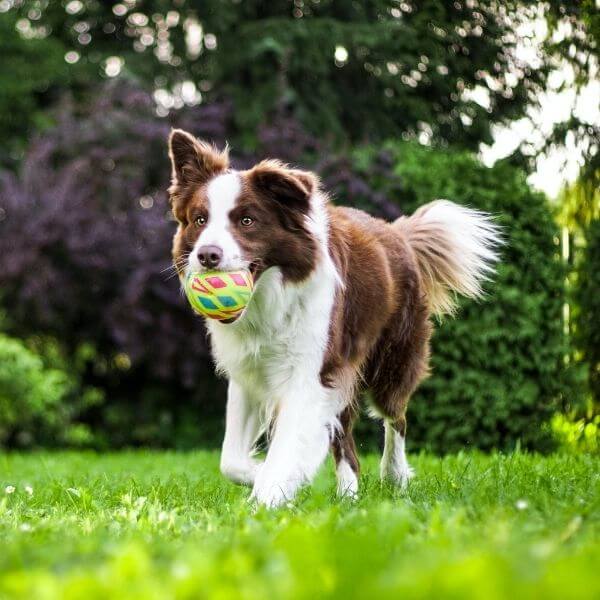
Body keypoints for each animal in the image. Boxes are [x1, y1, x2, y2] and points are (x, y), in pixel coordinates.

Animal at [166, 130, 500, 506]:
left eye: (247, 221)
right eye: (200, 220)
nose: (207, 255)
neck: (270, 298)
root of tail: (398, 233)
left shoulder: (311, 372)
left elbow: (286, 447)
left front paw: (268, 496)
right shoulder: (249, 372)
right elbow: (231, 460)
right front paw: (265, 477)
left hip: (392, 360)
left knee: (395, 417)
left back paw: (394, 475)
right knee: (346, 442)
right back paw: (348, 496)